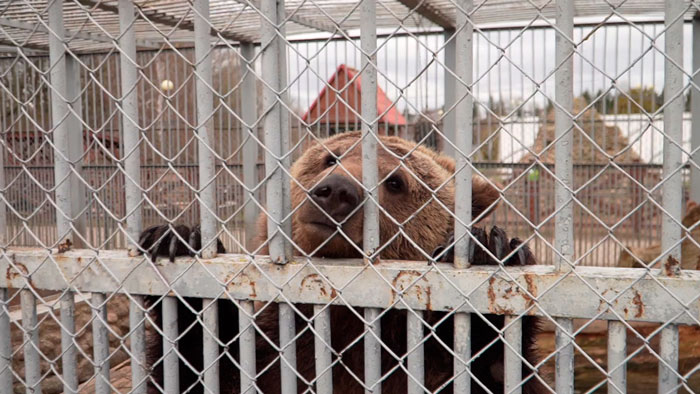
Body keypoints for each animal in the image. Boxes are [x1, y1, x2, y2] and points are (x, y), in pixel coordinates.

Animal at [138, 132, 548, 394]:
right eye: (329, 158)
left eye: (396, 182)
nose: (336, 190)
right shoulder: (271, 352)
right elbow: (202, 367)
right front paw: (177, 238)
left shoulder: (426, 364)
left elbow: (494, 368)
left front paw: (489, 246)